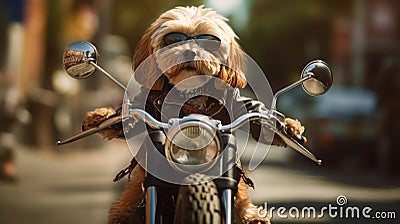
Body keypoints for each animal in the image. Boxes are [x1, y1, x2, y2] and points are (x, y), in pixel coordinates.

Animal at [83, 5, 306, 224]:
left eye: (209, 41)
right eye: (173, 39)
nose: (189, 52)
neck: (190, 98)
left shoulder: (235, 101)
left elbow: (257, 121)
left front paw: (289, 127)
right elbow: (128, 120)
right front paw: (100, 116)